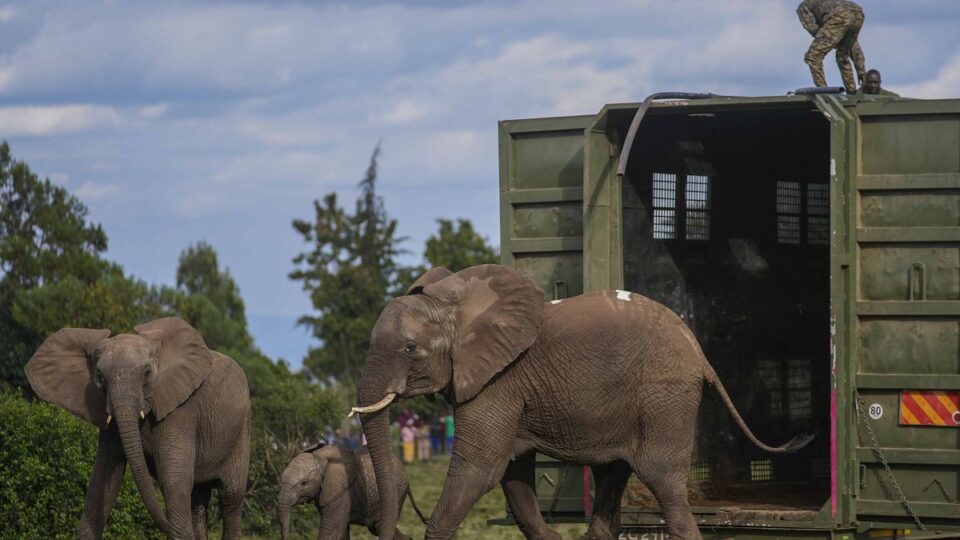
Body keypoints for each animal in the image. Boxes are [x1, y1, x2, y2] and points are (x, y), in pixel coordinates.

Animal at [25, 316, 251, 540]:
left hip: (242, 432)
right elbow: (103, 477)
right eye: (99, 376)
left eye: (147, 373)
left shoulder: (181, 412)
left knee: (230, 496)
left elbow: (174, 480)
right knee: (198, 499)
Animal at [278, 442, 428, 540]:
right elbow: (342, 531)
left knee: (378, 526)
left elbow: (331, 530)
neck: (321, 456)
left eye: (303, 483)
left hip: (398, 490)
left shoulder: (342, 493)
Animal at [348, 264, 812, 540]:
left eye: (410, 350)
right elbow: (513, 473)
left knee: (664, 482)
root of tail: (698, 351)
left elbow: (480, 466)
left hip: (665, 395)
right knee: (613, 476)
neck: (457, 303)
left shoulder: (499, 380)